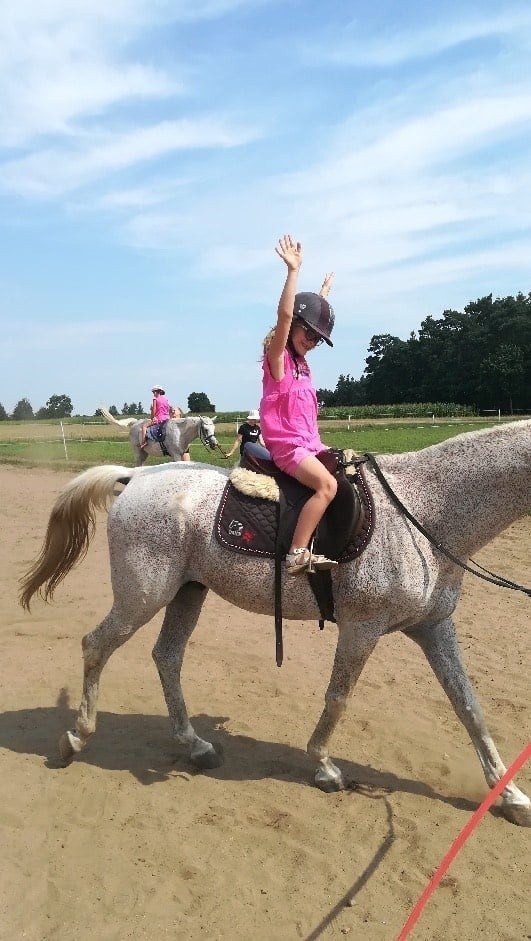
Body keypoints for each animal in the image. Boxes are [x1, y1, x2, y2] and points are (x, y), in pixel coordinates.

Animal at [18, 422, 528, 828]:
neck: (422, 512)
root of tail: (137, 477)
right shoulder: (362, 628)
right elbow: (338, 698)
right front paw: (324, 766)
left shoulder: (434, 627)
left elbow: (468, 707)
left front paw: (509, 794)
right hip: (141, 597)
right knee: (96, 646)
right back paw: (76, 738)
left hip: (187, 593)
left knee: (167, 657)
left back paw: (195, 744)